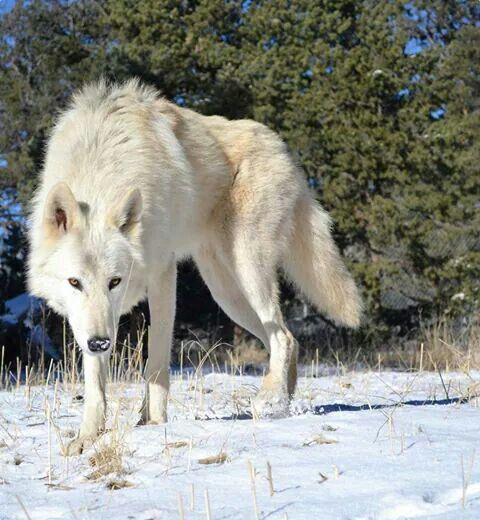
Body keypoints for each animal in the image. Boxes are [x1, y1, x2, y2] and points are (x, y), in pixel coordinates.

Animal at [26, 79, 360, 452]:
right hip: (225, 292)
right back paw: (283, 403)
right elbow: (95, 383)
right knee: (288, 339)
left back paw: (270, 400)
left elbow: (156, 362)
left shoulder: (162, 273)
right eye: (75, 282)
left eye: (115, 281)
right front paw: (87, 438)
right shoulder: (89, 321)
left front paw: (153, 424)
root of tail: (282, 149)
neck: (102, 167)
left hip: (247, 268)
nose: (100, 343)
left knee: (283, 337)